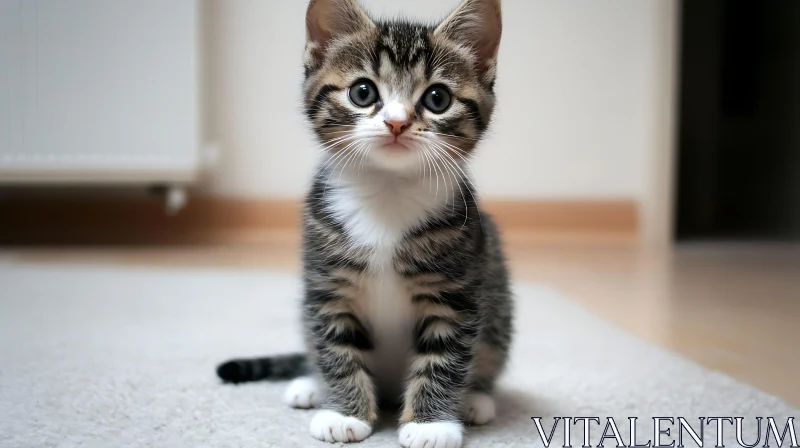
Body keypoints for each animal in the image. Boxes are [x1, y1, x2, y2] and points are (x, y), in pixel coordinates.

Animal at [216, 1, 512, 446]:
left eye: (437, 98)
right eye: (362, 92)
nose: (397, 122)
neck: (387, 193)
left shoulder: (457, 290)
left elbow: (445, 356)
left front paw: (431, 424)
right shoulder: (326, 284)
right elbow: (335, 347)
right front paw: (344, 414)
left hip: (497, 300)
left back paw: (475, 400)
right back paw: (310, 385)